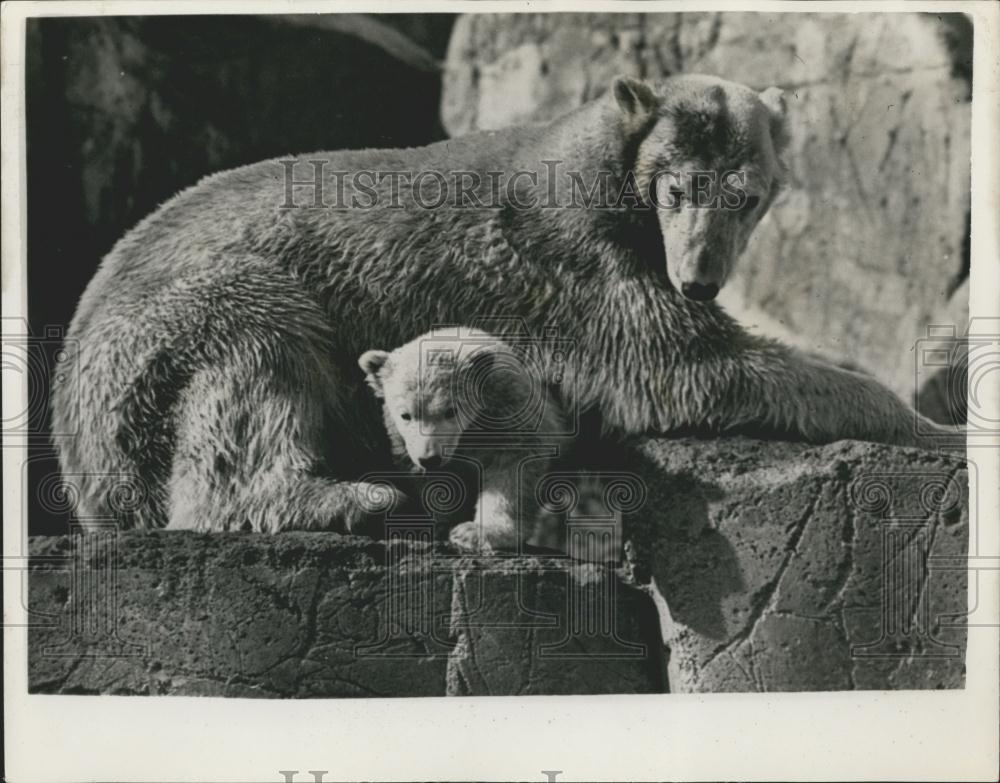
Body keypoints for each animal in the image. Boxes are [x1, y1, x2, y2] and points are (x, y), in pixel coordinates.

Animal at [50, 75, 948, 532]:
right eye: (678, 188)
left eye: (748, 195)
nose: (697, 277)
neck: (594, 160)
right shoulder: (573, 262)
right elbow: (679, 364)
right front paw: (930, 422)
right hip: (176, 324)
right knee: (259, 364)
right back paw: (352, 495)